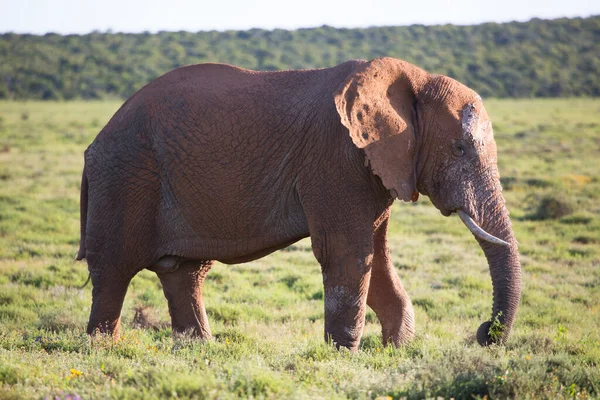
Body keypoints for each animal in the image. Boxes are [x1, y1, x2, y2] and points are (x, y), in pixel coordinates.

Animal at [77, 56, 520, 350]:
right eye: (459, 148)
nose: (484, 332)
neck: (413, 79)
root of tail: (96, 140)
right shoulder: (337, 156)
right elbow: (349, 253)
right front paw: (342, 355)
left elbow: (375, 256)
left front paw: (395, 349)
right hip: (126, 176)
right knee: (114, 269)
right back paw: (104, 349)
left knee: (183, 271)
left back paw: (199, 350)